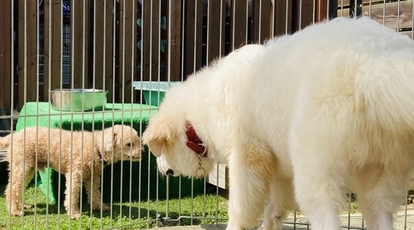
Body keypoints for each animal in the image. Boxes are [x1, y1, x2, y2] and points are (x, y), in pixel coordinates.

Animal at [142, 18, 414, 230]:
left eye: (158, 152)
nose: (160, 170)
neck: (200, 113)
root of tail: (373, 63)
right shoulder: (280, 171)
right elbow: (275, 210)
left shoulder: (247, 158)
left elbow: (240, 208)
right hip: (380, 178)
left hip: (316, 170)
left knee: (326, 217)